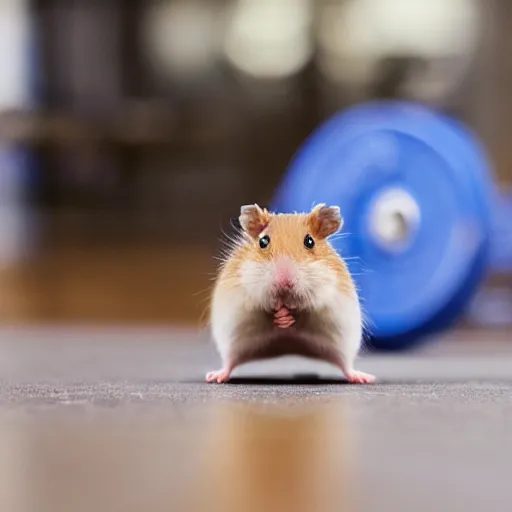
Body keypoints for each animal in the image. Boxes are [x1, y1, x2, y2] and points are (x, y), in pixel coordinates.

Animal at [205, 204, 376, 384]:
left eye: (309, 241)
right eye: (263, 241)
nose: (284, 281)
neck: (284, 297)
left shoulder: (325, 294)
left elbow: (306, 309)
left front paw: (287, 317)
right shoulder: (247, 291)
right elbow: (263, 307)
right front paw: (280, 316)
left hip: (343, 344)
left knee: (346, 365)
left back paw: (364, 378)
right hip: (232, 343)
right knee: (229, 362)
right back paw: (215, 377)